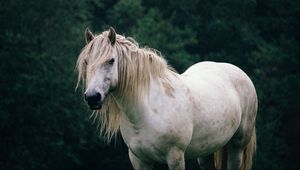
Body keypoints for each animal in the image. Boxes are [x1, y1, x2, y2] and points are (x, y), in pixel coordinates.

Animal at [76, 27, 256, 169]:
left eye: (111, 60)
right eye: (86, 62)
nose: (92, 97)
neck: (148, 110)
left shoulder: (175, 157)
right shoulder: (139, 160)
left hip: (237, 146)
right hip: (206, 151)